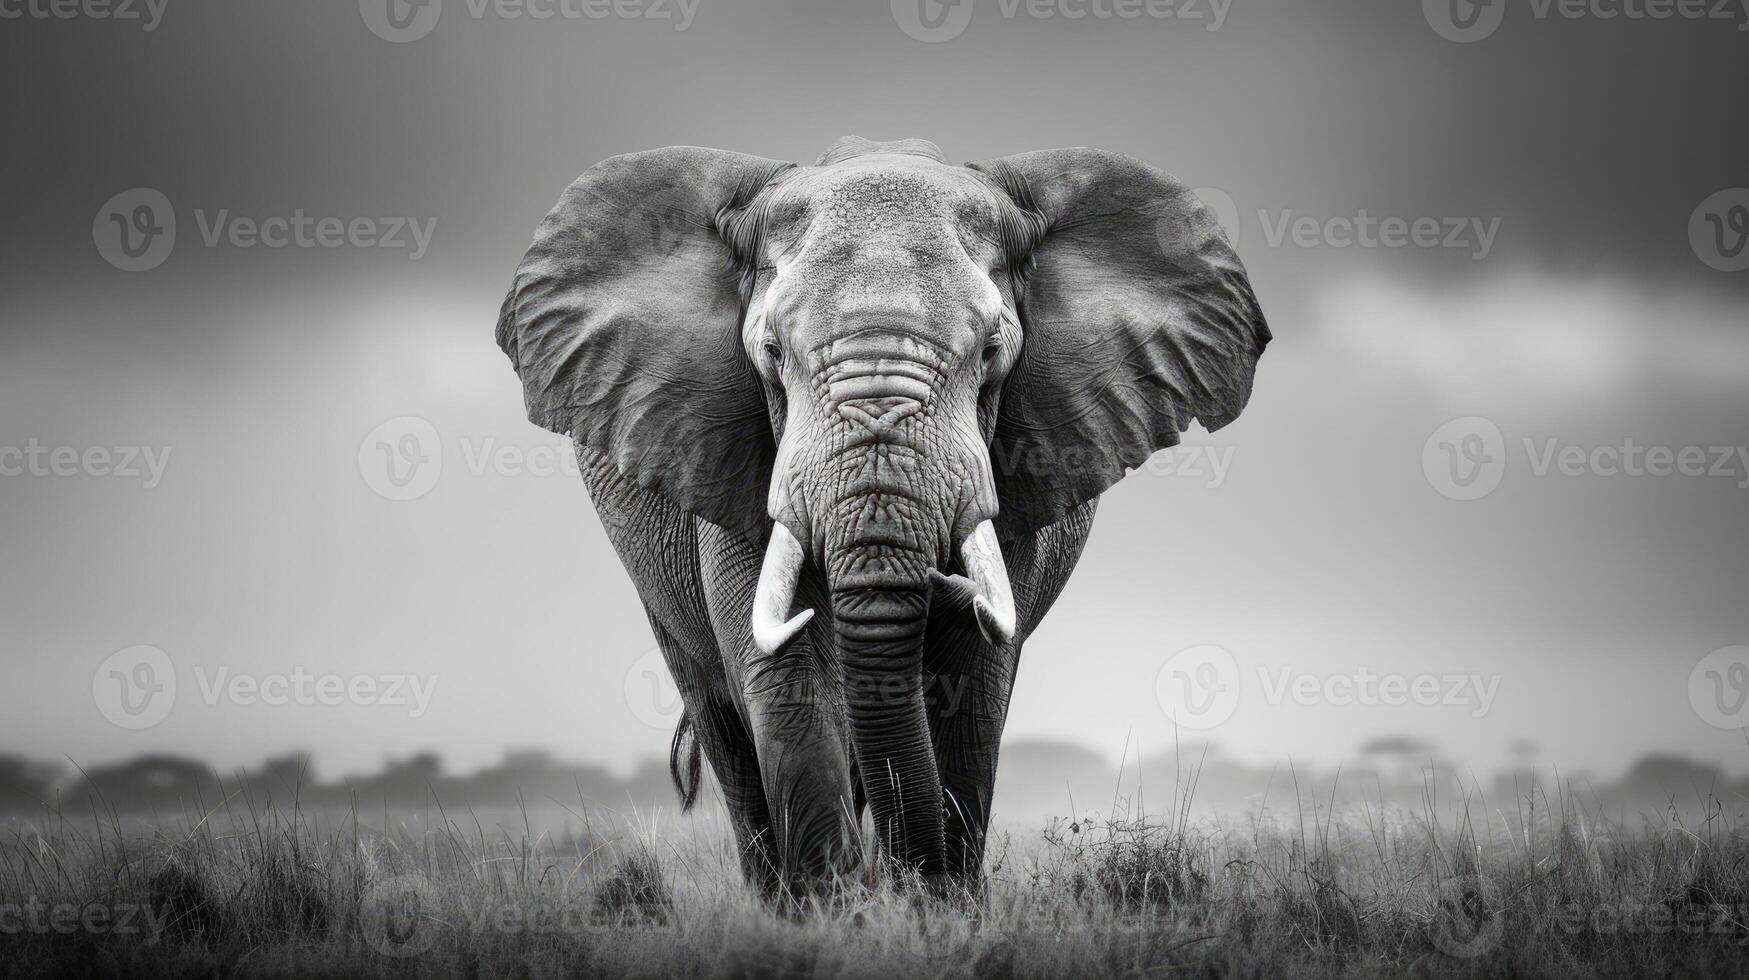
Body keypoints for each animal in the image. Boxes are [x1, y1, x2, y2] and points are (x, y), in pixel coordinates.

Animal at [496, 138, 1273, 896]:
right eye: (770, 353)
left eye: (992, 354)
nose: (943, 579)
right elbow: (786, 673)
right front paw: (834, 911)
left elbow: (971, 682)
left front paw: (933, 908)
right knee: (723, 723)